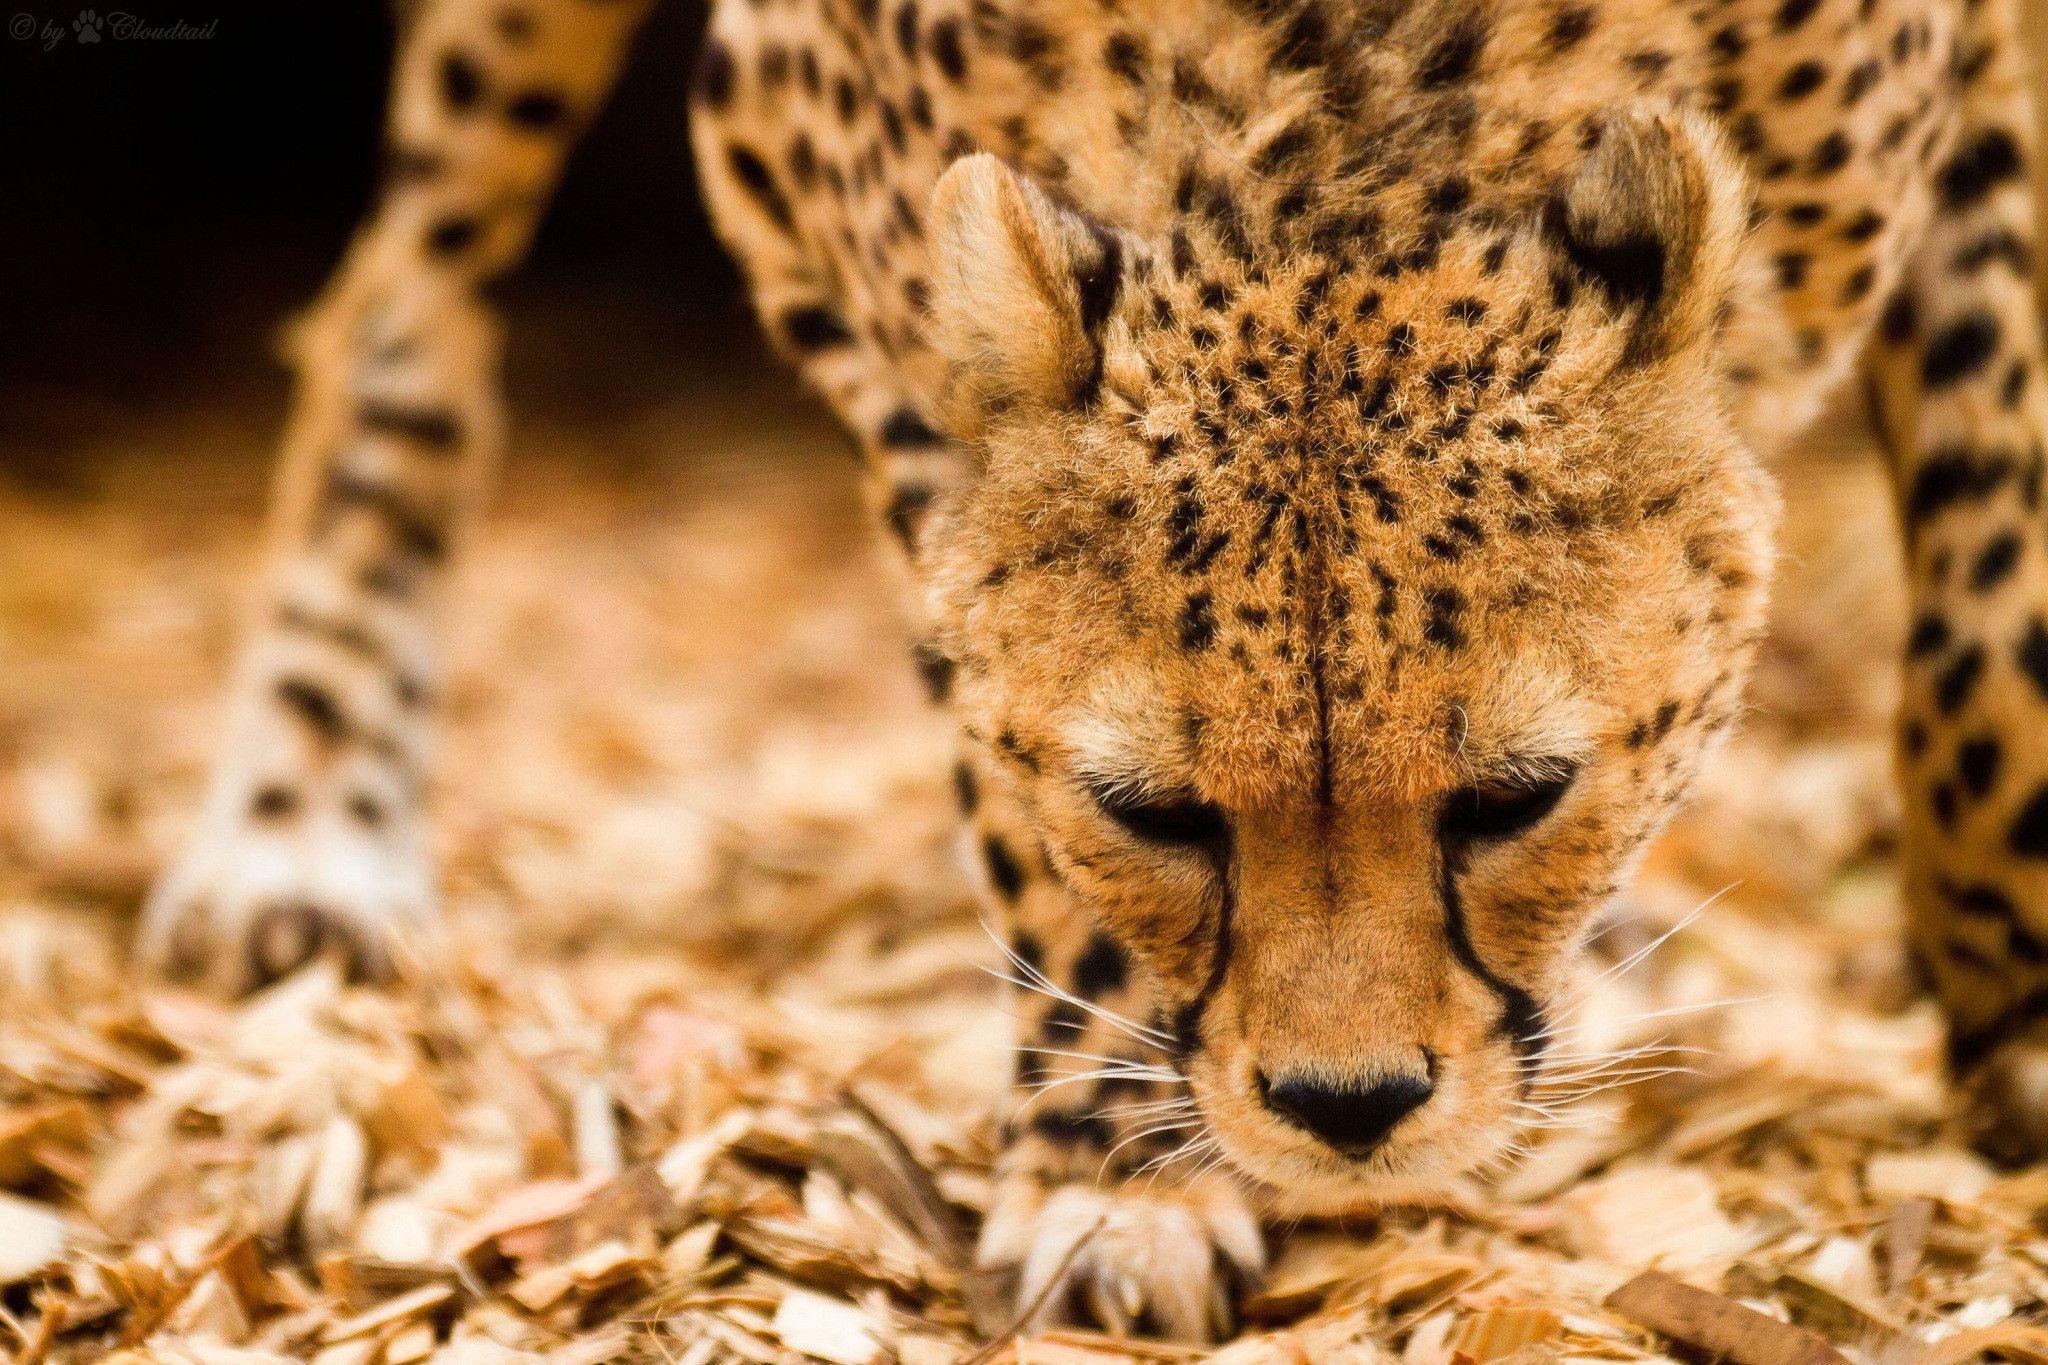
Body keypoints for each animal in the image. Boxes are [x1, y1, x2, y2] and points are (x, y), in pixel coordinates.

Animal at [140, 0, 2048, 1341]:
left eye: (1518, 800)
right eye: (1157, 811)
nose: (1347, 1112)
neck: (1347, 121)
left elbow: (1996, 599)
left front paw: (2022, 1024)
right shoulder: (802, 207)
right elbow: (1008, 781)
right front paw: (1117, 1172)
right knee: (407, 301)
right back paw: (302, 827)